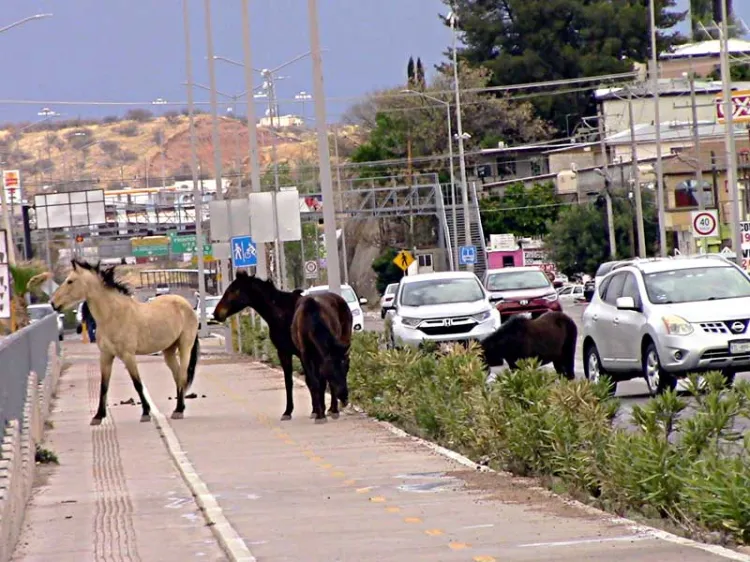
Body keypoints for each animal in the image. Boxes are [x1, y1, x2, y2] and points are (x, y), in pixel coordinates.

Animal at [50, 260, 200, 425]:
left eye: (70, 281)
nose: (53, 303)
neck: (112, 315)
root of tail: (187, 306)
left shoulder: (128, 356)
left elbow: (137, 384)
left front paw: (145, 413)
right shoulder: (106, 356)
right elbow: (104, 385)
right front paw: (98, 416)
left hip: (185, 346)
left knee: (182, 375)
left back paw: (179, 410)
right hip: (169, 350)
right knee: (177, 376)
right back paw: (179, 408)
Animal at [291, 292, 353, 423]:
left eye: (347, 369)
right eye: (331, 371)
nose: (344, 397)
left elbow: (323, 383)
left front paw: (330, 411)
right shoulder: (305, 355)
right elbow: (315, 383)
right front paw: (319, 414)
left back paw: (332, 410)